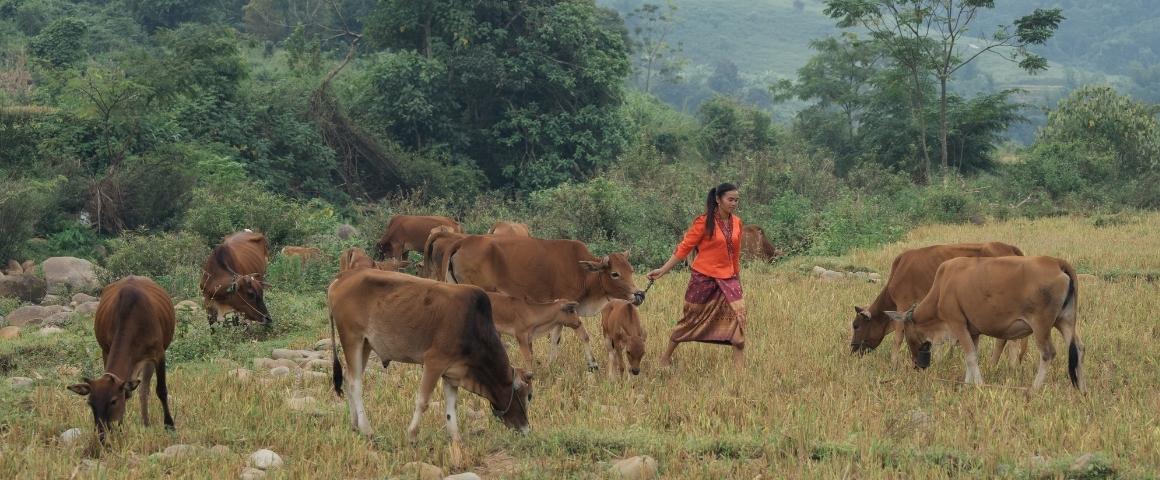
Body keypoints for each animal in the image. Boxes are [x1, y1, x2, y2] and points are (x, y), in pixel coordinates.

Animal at [67, 276, 176, 442]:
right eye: (90, 403)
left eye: (113, 401)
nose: (101, 435)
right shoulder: (106, 350)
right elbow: (128, 392)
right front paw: (120, 428)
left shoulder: (159, 354)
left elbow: (161, 390)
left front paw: (169, 425)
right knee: (142, 389)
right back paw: (145, 423)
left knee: (145, 389)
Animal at [327, 268, 532, 467]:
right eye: (527, 396)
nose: (526, 429)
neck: (473, 328)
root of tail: (341, 279)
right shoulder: (434, 362)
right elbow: (423, 401)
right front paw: (412, 436)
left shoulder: (453, 374)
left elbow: (451, 408)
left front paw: (455, 438)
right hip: (352, 339)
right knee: (355, 383)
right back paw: (367, 429)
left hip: (366, 344)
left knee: (348, 378)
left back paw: (354, 424)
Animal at [445, 235, 644, 370]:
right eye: (615, 274)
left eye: (631, 270)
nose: (639, 294)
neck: (583, 273)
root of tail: (463, 242)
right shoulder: (565, 304)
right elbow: (579, 333)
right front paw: (591, 363)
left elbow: (556, 337)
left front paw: (551, 363)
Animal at [850, 242, 1027, 365]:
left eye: (856, 326)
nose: (853, 348)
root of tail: (1009, 247)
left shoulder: (903, 304)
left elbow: (898, 337)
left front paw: (894, 362)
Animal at [884, 256, 1083, 392]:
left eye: (908, 334)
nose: (918, 365)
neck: (942, 287)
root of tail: (1056, 262)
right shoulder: (973, 331)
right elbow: (972, 355)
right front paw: (967, 384)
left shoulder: (957, 323)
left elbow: (971, 356)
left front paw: (978, 385)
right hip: (1065, 321)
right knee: (1078, 348)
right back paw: (1082, 388)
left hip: (1041, 326)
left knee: (1048, 353)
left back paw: (1033, 389)